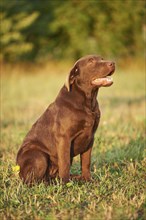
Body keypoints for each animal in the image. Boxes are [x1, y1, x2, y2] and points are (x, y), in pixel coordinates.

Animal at [16, 54, 115, 184]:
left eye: (102, 58)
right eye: (91, 61)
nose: (113, 63)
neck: (88, 100)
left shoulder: (90, 139)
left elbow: (86, 162)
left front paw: (87, 179)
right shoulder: (64, 138)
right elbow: (65, 163)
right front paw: (65, 184)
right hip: (38, 156)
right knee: (32, 181)